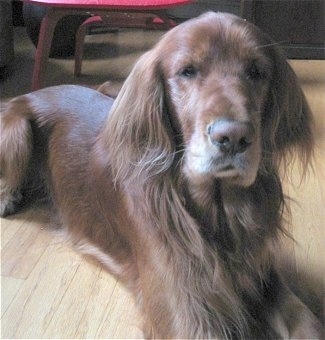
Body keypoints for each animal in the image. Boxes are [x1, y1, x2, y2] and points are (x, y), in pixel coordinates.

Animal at [0, 11, 322, 338]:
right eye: (187, 71)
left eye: (256, 71)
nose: (233, 137)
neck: (217, 210)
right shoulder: (183, 307)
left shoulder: (262, 273)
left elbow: (306, 320)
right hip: (17, 132)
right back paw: (8, 198)